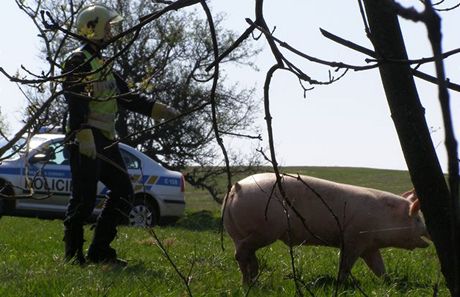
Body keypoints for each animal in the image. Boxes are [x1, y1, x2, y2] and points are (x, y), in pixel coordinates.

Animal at [223, 172, 432, 284]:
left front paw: (389, 281)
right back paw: (248, 283)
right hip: (266, 229)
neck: (383, 219)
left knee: (246, 255)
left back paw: (252, 282)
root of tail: (237, 188)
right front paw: (342, 283)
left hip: (236, 232)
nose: (429, 231)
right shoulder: (353, 239)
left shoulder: (370, 246)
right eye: (418, 219)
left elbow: (378, 267)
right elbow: (346, 263)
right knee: (240, 254)